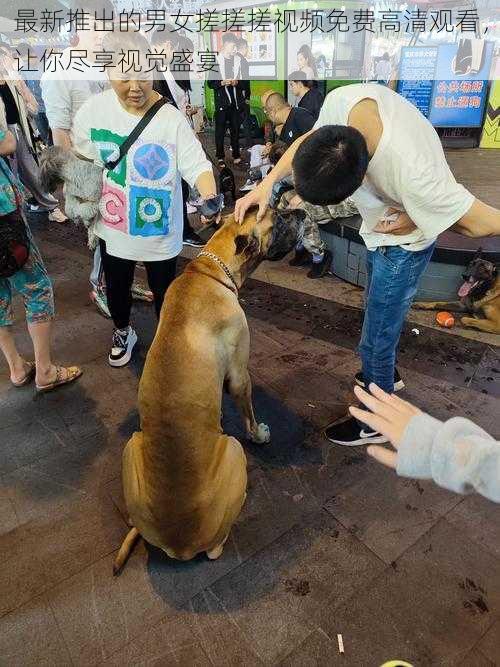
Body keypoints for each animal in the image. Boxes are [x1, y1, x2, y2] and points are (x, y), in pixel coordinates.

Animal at [113, 206, 302, 572]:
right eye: (278, 217)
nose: (300, 211)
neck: (211, 271)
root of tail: (180, 546)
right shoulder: (240, 375)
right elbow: (249, 412)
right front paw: (260, 433)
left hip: (131, 446)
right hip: (233, 450)